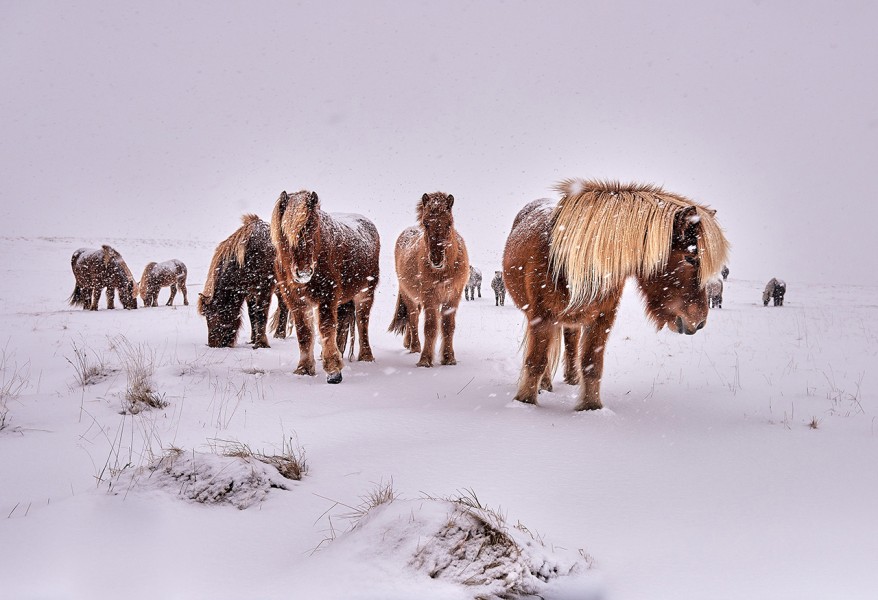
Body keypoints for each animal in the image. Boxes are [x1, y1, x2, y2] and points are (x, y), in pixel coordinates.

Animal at [198, 215, 287, 348]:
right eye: (207, 316)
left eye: (219, 312)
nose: (213, 344)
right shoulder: (250, 292)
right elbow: (252, 314)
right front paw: (253, 339)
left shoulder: (263, 289)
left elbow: (260, 314)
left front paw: (261, 343)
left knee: (284, 306)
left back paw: (280, 334)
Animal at [271, 190, 380, 384]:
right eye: (285, 231)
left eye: (314, 227)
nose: (303, 272)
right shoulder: (296, 301)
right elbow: (305, 333)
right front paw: (304, 369)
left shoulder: (326, 298)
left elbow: (326, 329)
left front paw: (334, 372)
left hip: (365, 293)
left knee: (363, 323)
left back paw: (367, 357)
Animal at [389, 192, 469, 367]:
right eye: (426, 224)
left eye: (449, 224)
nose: (436, 259)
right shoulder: (429, 297)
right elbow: (430, 327)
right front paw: (425, 359)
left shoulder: (453, 297)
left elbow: (448, 327)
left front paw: (449, 358)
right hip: (409, 296)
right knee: (413, 318)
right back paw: (414, 346)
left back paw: (409, 343)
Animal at [502, 179, 729, 411]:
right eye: (690, 258)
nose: (699, 321)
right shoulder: (541, 317)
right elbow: (536, 361)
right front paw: (526, 402)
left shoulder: (603, 318)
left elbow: (592, 364)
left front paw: (591, 407)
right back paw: (545, 384)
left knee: (571, 341)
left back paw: (570, 380)